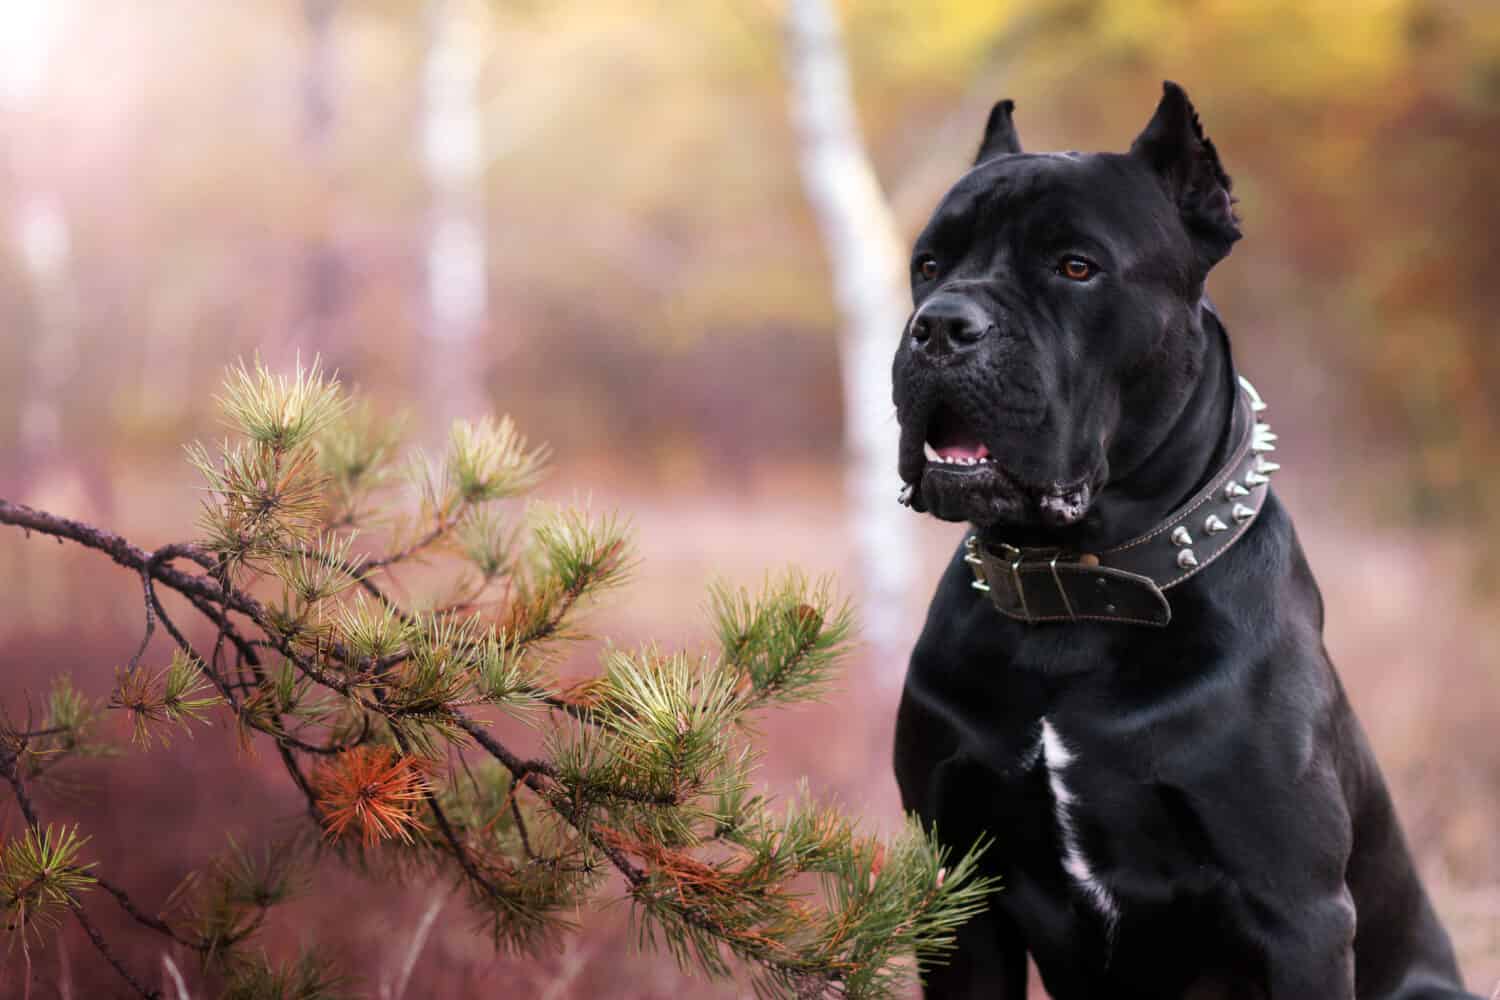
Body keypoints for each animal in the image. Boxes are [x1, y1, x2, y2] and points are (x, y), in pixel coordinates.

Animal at [888, 82, 1476, 995]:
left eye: (1076, 266)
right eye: (929, 265)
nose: (940, 326)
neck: (1077, 596)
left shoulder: (1298, 912)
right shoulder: (961, 895)